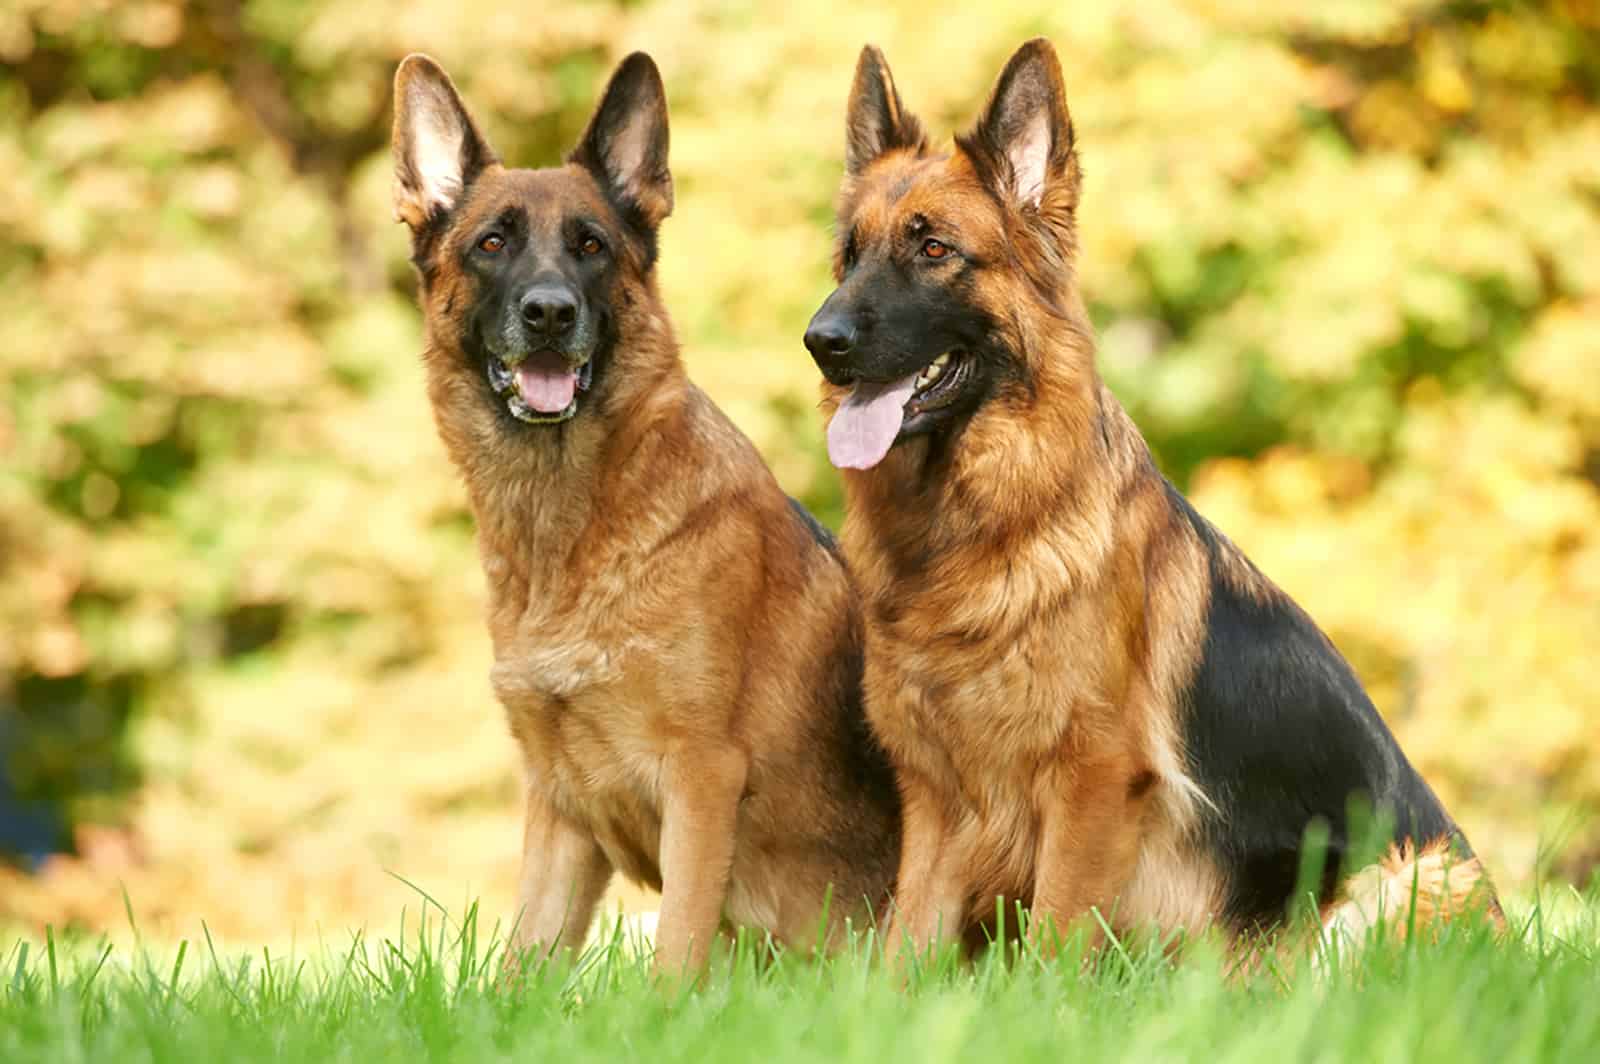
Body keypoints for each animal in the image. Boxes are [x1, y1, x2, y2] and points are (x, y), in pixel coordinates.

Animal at [392, 54, 902, 972]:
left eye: (591, 246)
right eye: (492, 244)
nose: (549, 312)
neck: (570, 534)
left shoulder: (702, 778)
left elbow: (674, 957)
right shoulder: (560, 810)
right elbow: (521, 966)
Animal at [806, 39, 1491, 953]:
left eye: (936, 250)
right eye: (851, 255)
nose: (821, 341)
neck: (975, 528)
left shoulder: (1093, 782)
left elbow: (1054, 939)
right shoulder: (938, 800)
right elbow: (901, 950)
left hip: (1399, 880)